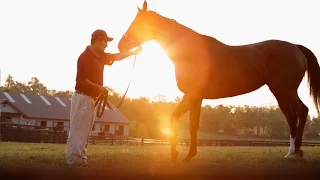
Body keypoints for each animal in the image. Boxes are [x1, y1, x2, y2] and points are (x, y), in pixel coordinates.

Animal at [117, 0, 320, 163]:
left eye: (141, 24)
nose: (121, 46)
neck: (190, 52)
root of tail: (295, 47)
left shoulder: (194, 96)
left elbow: (193, 125)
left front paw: (188, 156)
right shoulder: (191, 96)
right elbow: (174, 118)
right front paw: (175, 153)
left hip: (284, 90)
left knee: (299, 113)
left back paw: (294, 152)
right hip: (282, 92)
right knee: (294, 116)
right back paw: (293, 152)